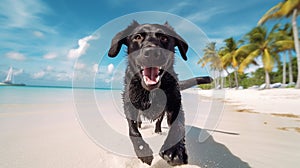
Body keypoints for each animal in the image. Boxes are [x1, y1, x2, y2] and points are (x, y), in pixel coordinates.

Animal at [107, 20, 211, 165]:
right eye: (137, 37)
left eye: (164, 38)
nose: (151, 52)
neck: (151, 91)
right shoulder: (128, 103)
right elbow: (133, 131)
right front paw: (143, 151)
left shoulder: (174, 103)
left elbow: (178, 126)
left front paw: (174, 150)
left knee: (159, 121)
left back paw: (158, 131)